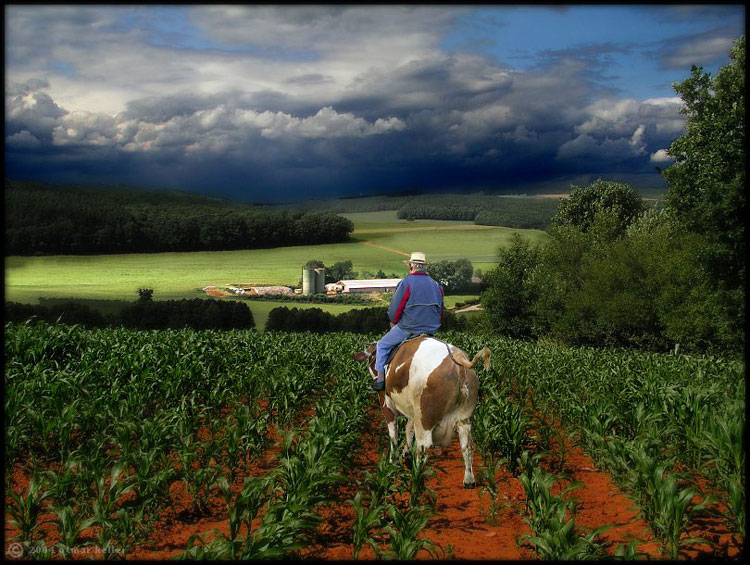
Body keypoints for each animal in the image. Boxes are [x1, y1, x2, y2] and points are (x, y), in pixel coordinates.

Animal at [354, 332, 490, 486]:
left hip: (426, 418)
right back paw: (468, 480)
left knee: (424, 448)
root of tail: (459, 362)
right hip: (464, 417)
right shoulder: (414, 411)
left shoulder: (386, 403)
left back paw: (415, 478)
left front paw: (393, 462)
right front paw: (405, 453)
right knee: (467, 444)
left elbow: (394, 433)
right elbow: (408, 428)